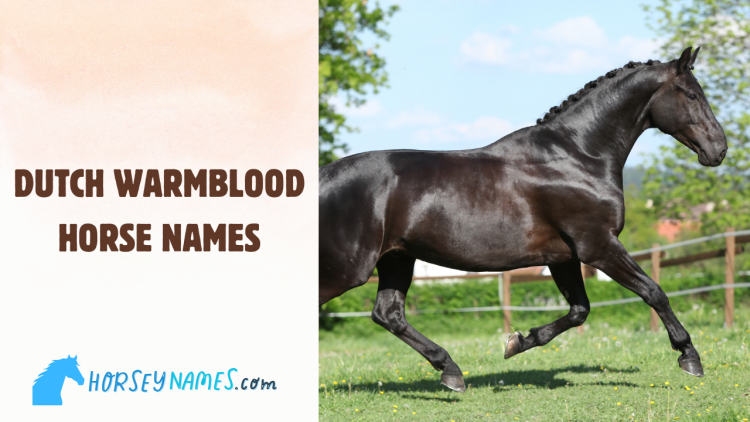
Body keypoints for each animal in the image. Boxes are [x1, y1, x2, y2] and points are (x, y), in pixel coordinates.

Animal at [319, 46, 726, 392]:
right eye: (692, 95)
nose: (719, 149)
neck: (578, 157)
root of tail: (323, 177)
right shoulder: (599, 246)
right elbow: (654, 292)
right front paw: (690, 357)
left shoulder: (563, 257)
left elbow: (579, 311)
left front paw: (517, 342)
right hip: (348, 268)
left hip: (397, 259)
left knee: (388, 314)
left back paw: (451, 372)